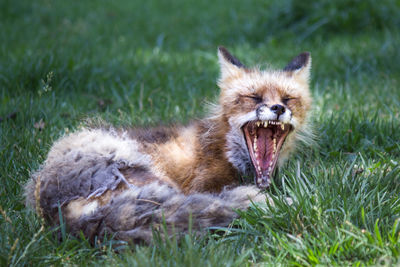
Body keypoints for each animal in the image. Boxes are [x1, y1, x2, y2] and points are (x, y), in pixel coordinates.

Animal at [24, 47, 312, 245]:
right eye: (254, 98)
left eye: (288, 98)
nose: (278, 108)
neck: (224, 148)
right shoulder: (202, 185)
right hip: (149, 177)